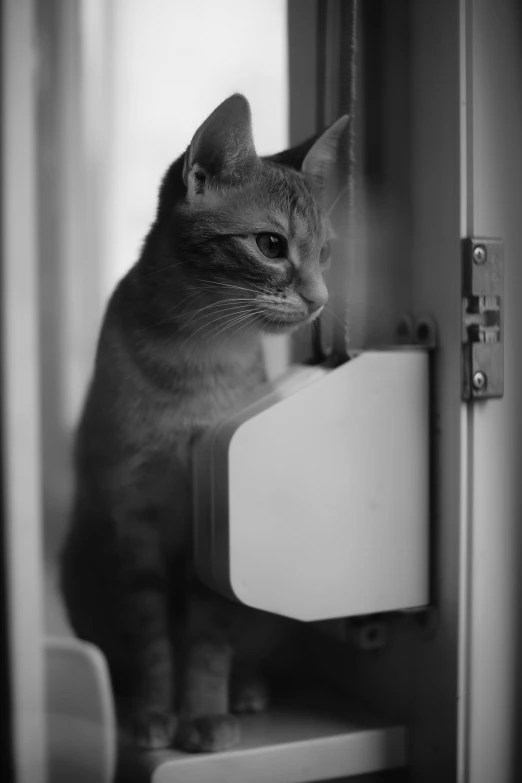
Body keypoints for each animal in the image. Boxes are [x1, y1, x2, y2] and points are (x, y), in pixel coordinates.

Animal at [59, 95, 346, 756]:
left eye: (324, 254)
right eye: (270, 244)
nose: (320, 300)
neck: (195, 360)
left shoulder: (214, 531)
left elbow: (210, 638)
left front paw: (206, 709)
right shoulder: (131, 517)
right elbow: (150, 638)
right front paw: (155, 712)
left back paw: (247, 688)